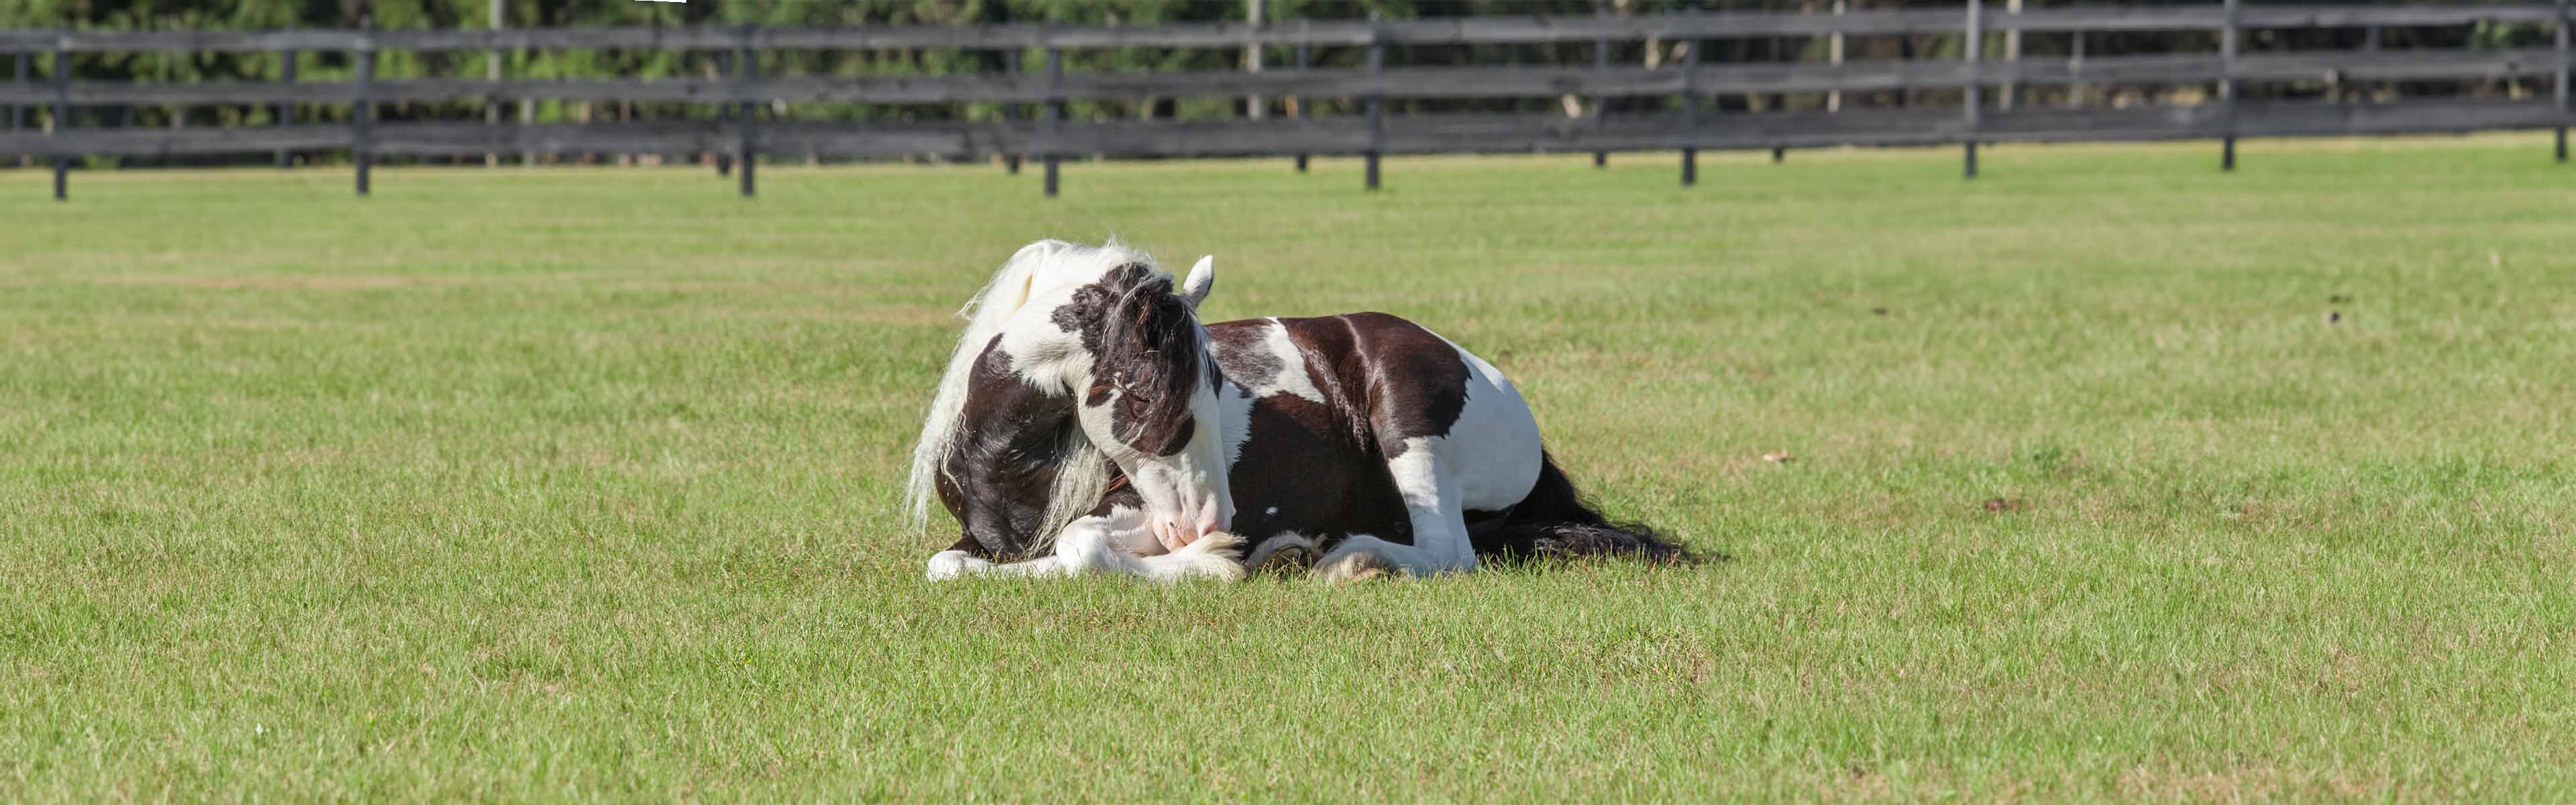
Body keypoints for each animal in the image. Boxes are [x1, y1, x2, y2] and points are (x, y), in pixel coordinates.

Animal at [906, 240, 1675, 581]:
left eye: (1217, 385)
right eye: (1146, 392)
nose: (1208, 521)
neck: (1012, 469)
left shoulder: (1135, 513)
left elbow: (1080, 547)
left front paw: (1217, 563)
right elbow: (952, 567)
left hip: (1409, 425)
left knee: (1449, 553)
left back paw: (1340, 559)